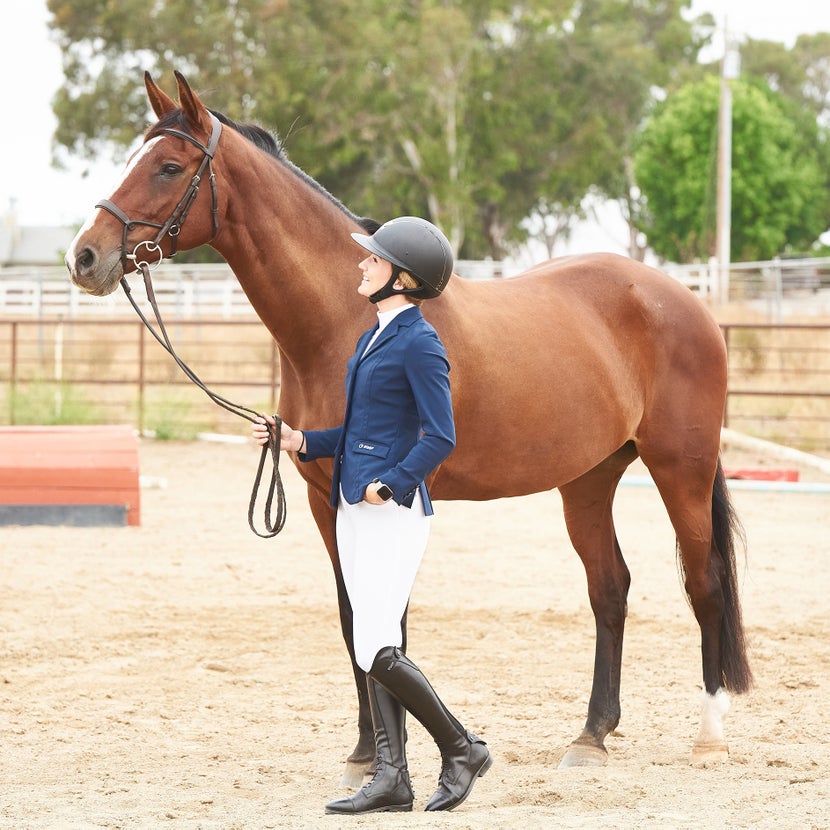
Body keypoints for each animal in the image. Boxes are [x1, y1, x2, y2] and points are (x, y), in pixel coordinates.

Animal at [65, 71, 752, 788]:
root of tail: (683, 301)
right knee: (609, 588)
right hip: (589, 478)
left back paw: (709, 736)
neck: (349, 324)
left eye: (169, 167)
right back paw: (591, 735)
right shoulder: (325, 497)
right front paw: (365, 754)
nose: (85, 256)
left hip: (681, 468)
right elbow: (354, 620)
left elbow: (385, 619)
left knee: (704, 584)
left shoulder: (386, 495)